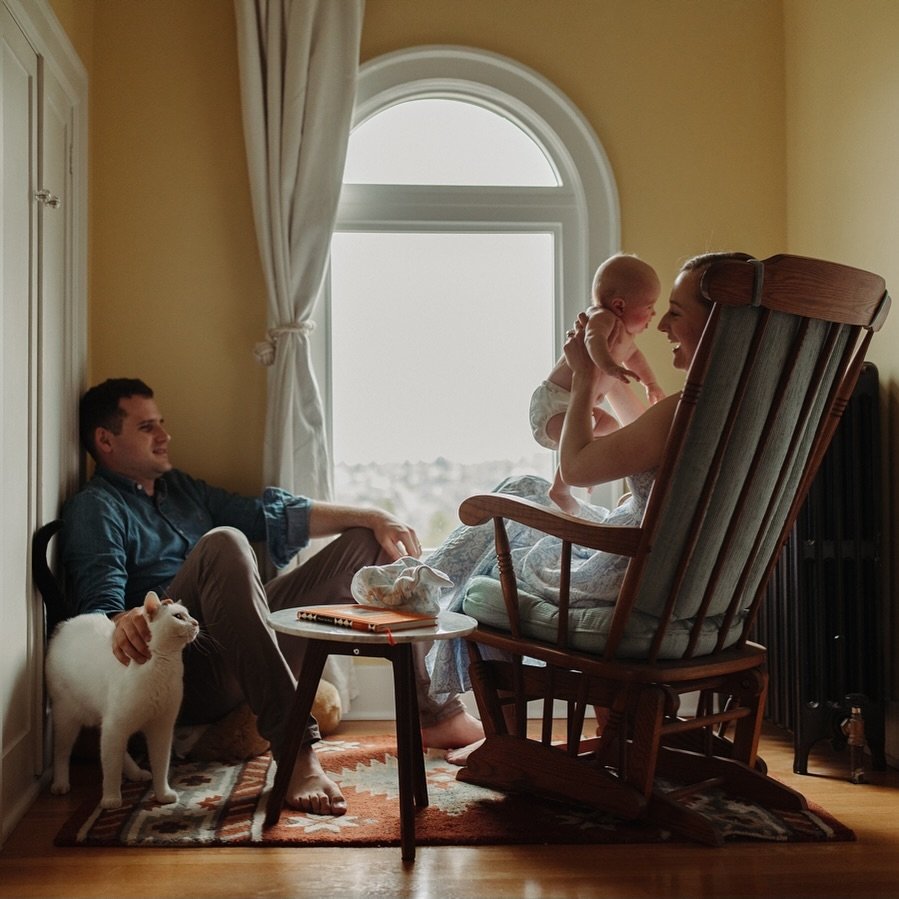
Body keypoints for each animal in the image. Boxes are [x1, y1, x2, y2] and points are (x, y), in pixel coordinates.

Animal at [46, 596, 200, 812]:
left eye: (189, 614)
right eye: (178, 616)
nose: (196, 623)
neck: (163, 666)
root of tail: (64, 625)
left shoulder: (160, 729)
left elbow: (161, 766)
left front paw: (162, 794)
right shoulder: (114, 727)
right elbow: (110, 769)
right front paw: (111, 799)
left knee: (118, 752)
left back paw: (137, 773)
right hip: (67, 719)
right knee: (61, 753)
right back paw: (60, 784)